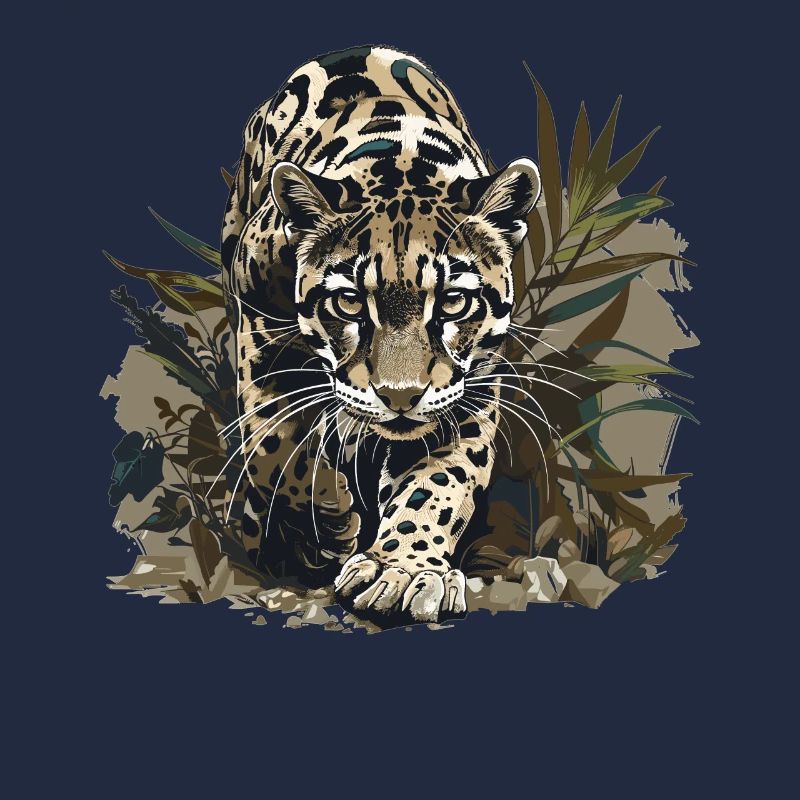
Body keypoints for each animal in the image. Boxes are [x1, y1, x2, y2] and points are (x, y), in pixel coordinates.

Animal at [221, 45, 541, 625]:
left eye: (454, 302)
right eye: (349, 301)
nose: (399, 396)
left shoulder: (470, 385)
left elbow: (439, 480)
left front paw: (404, 571)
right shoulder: (256, 318)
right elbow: (275, 442)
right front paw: (330, 518)